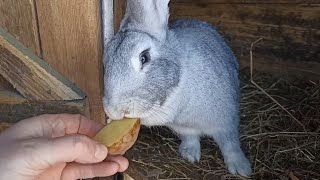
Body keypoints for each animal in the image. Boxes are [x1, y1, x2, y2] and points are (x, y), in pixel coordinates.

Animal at [101, 0, 251, 177]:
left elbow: (230, 145)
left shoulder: (227, 121)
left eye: (144, 58)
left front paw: (241, 168)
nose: (114, 110)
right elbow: (190, 138)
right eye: (105, 63)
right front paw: (190, 154)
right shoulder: (182, 127)